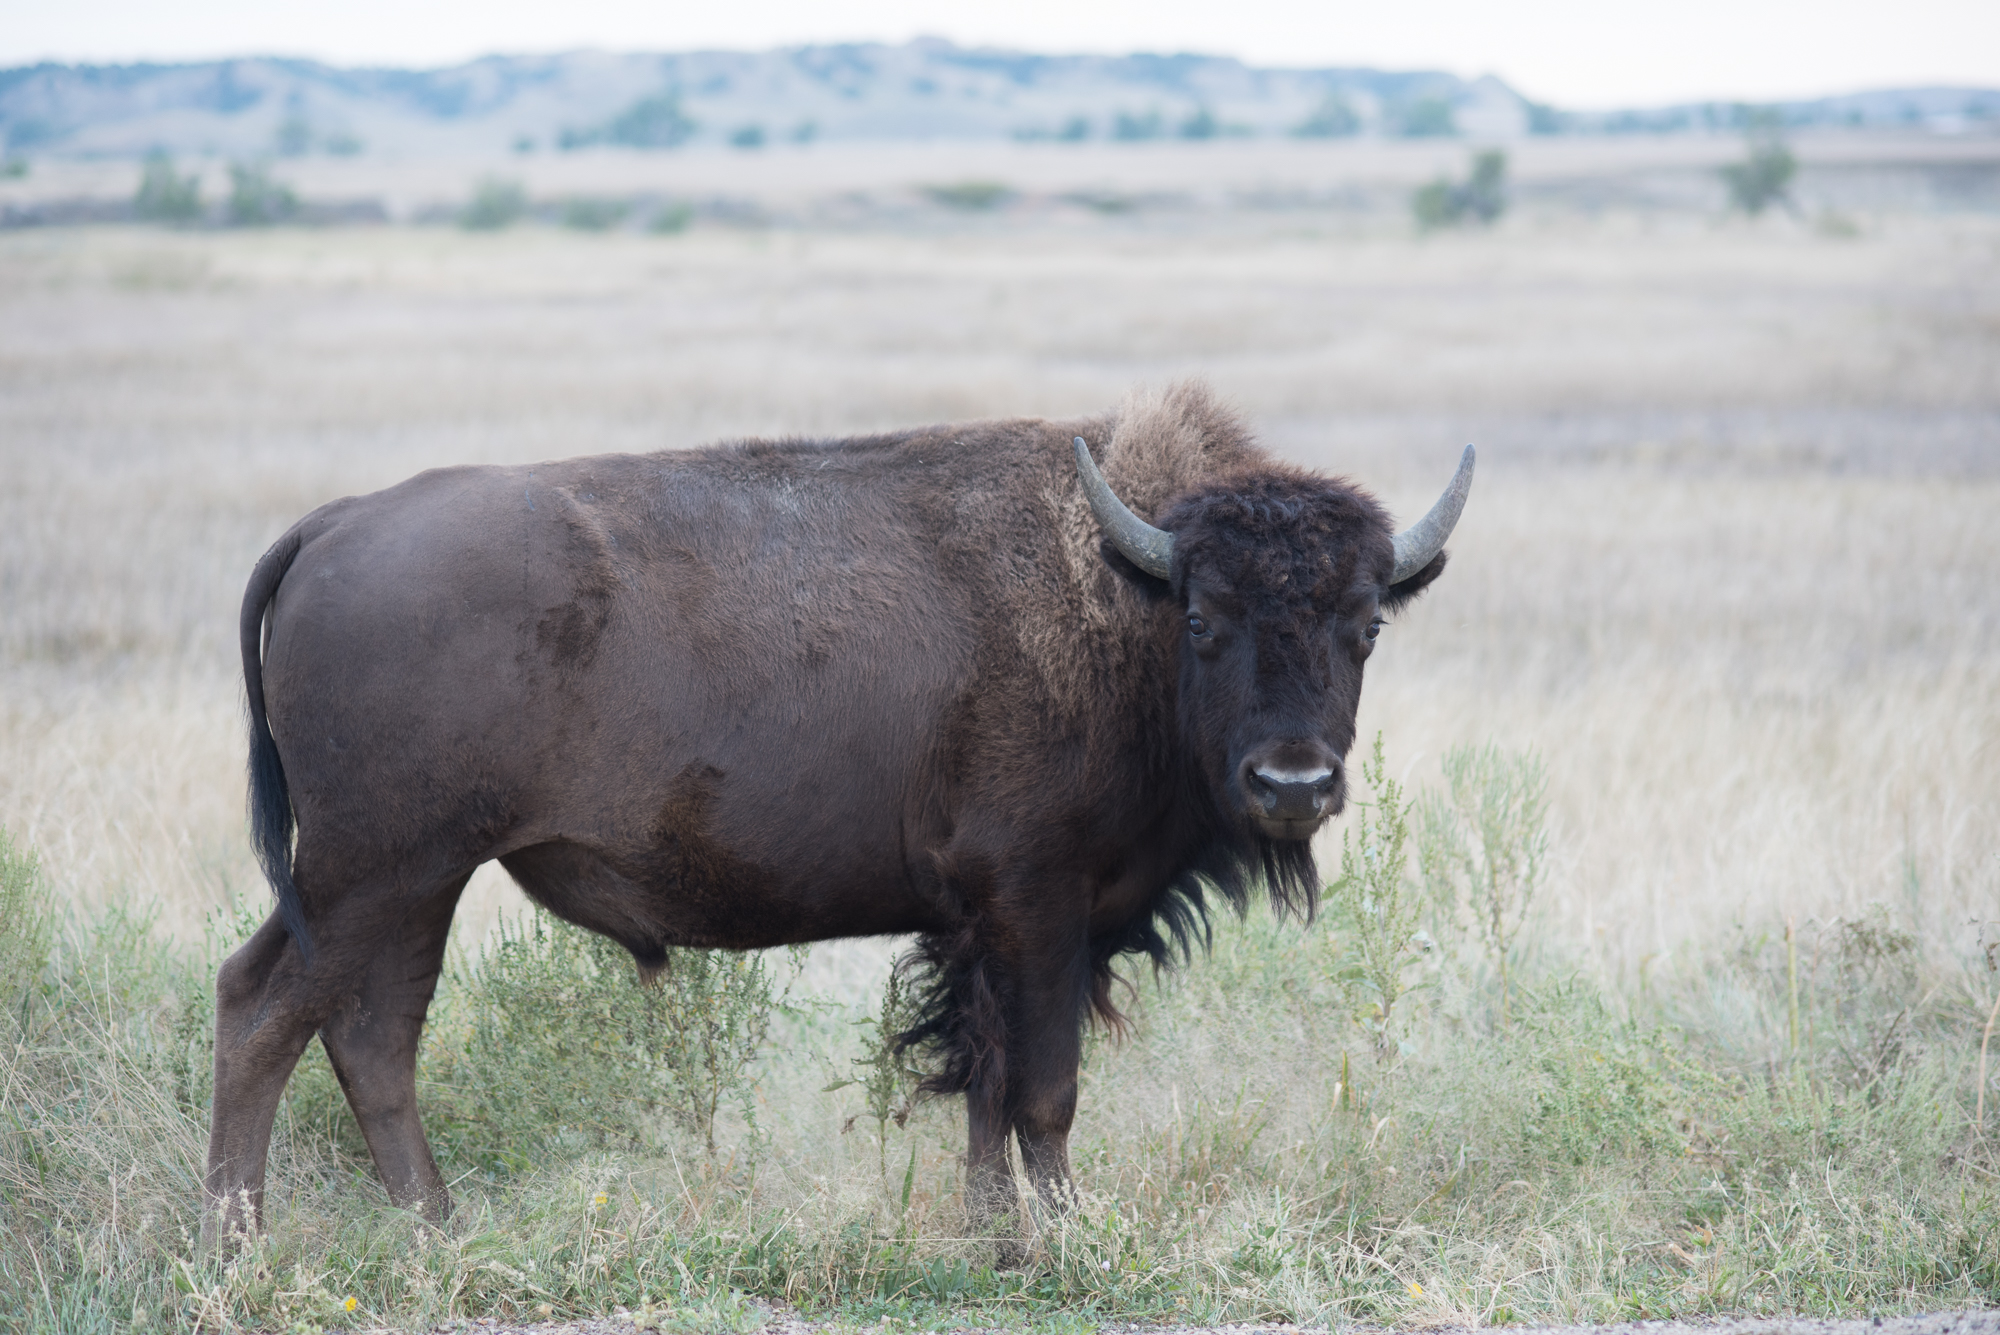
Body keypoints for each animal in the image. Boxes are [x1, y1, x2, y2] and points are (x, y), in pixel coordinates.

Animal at [207, 379, 1472, 1247]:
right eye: (1205, 619)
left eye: (1365, 622)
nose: (1291, 785)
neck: (1119, 591)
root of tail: (333, 525)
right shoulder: (1035, 906)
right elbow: (1043, 1092)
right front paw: (1062, 1241)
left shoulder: (979, 931)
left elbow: (985, 1087)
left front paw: (996, 1240)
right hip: (377, 873)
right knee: (268, 1014)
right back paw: (239, 1249)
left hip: (402, 885)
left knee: (364, 1035)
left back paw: (437, 1232)